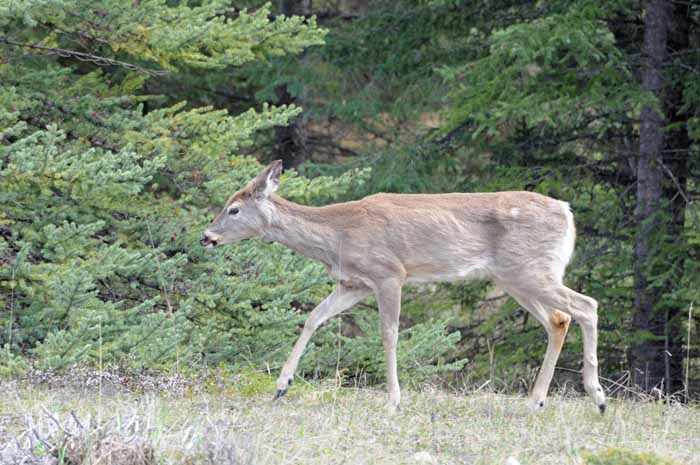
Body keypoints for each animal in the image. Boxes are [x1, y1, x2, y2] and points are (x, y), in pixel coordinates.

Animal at [200, 160, 604, 414]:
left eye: (233, 209)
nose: (206, 236)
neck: (337, 236)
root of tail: (567, 212)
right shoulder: (354, 283)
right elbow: (314, 317)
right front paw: (281, 385)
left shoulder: (389, 273)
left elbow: (389, 334)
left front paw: (393, 400)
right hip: (513, 277)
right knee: (559, 318)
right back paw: (536, 401)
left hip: (530, 270)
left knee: (586, 305)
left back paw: (596, 396)